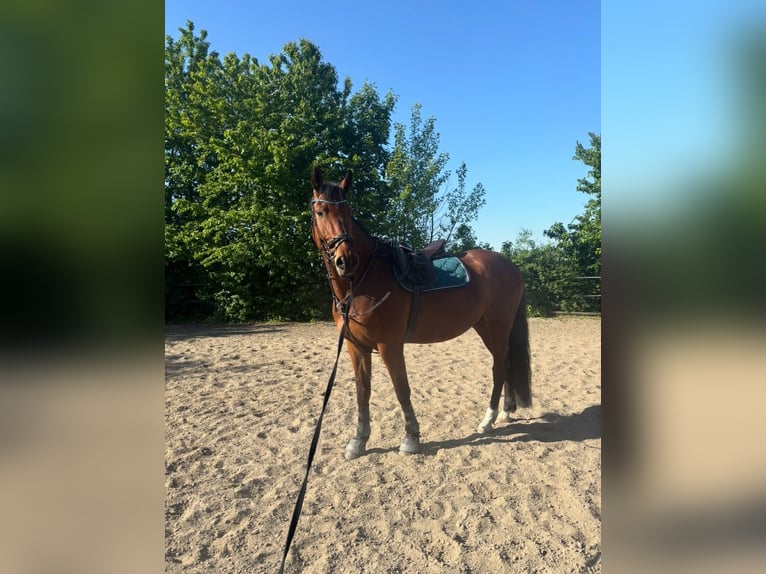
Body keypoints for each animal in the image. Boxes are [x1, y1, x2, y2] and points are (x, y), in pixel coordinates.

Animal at [310, 166, 531, 459]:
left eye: (347, 211)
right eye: (321, 211)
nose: (346, 260)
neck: (363, 280)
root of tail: (511, 266)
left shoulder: (389, 345)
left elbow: (402, 389)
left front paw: (411, 438)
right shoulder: (355, 346)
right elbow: (362, 392)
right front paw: (358, 440)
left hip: (497, 327)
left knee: (498, 368)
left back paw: (488, 420)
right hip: (485, 326)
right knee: (504, 364)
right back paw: (505, 412)